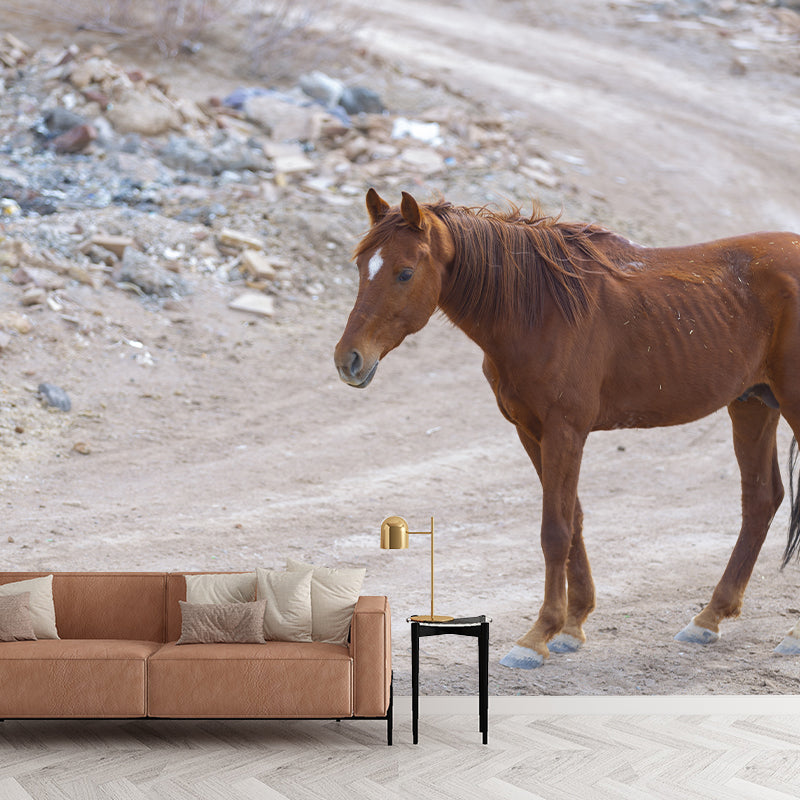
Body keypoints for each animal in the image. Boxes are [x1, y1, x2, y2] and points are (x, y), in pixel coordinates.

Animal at [334, 188, 800, 669]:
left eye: (405, 272)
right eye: (360, 266)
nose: (348, 359)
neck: (540, 309)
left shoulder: (565, 431)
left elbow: (555, 531)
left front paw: (537, 636)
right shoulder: (531, 431)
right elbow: (572, 518)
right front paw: (573, 624)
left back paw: (791, 635)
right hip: (752, 404)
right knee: (761, 500)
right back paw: (710, 618)